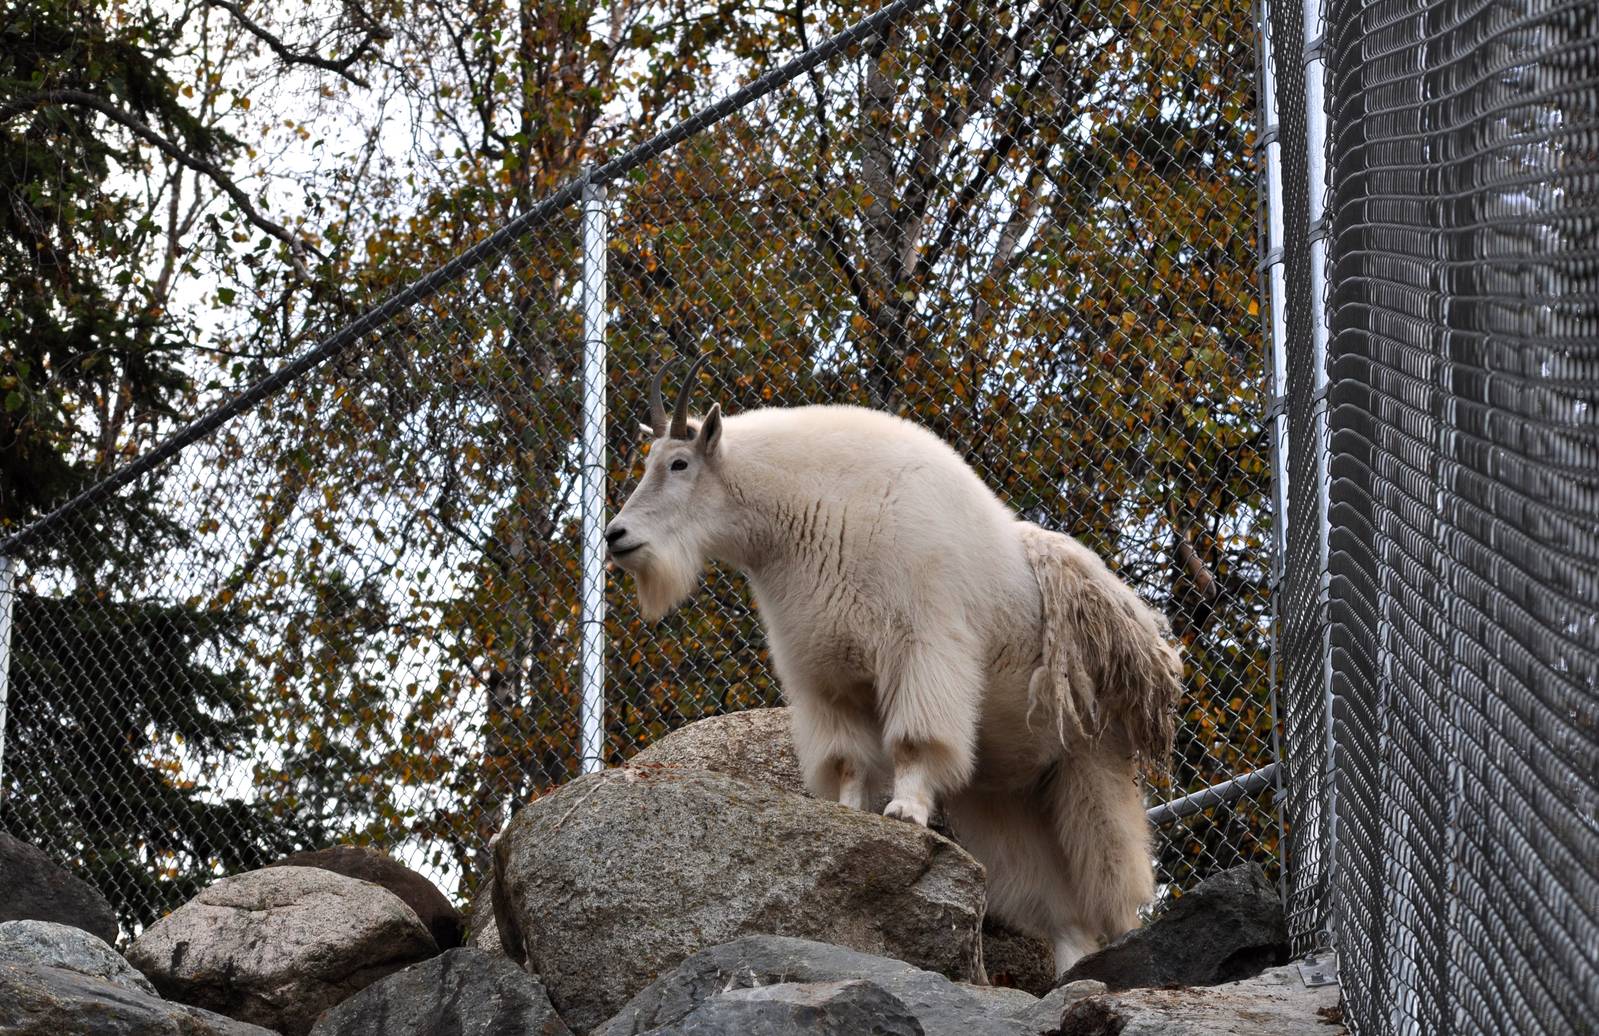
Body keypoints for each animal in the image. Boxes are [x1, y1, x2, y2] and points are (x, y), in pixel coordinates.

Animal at [605, 356, 1183, 972]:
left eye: (679, 463)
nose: (617, 536)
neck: (811, 509)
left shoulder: (921, 647)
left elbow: (913, 740)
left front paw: (903, 811)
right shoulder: (827, 675)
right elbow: (848, 761)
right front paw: (849, 813)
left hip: (1091, 756)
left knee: (1113, 879)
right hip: (1011, 790)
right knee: (1059, 906)